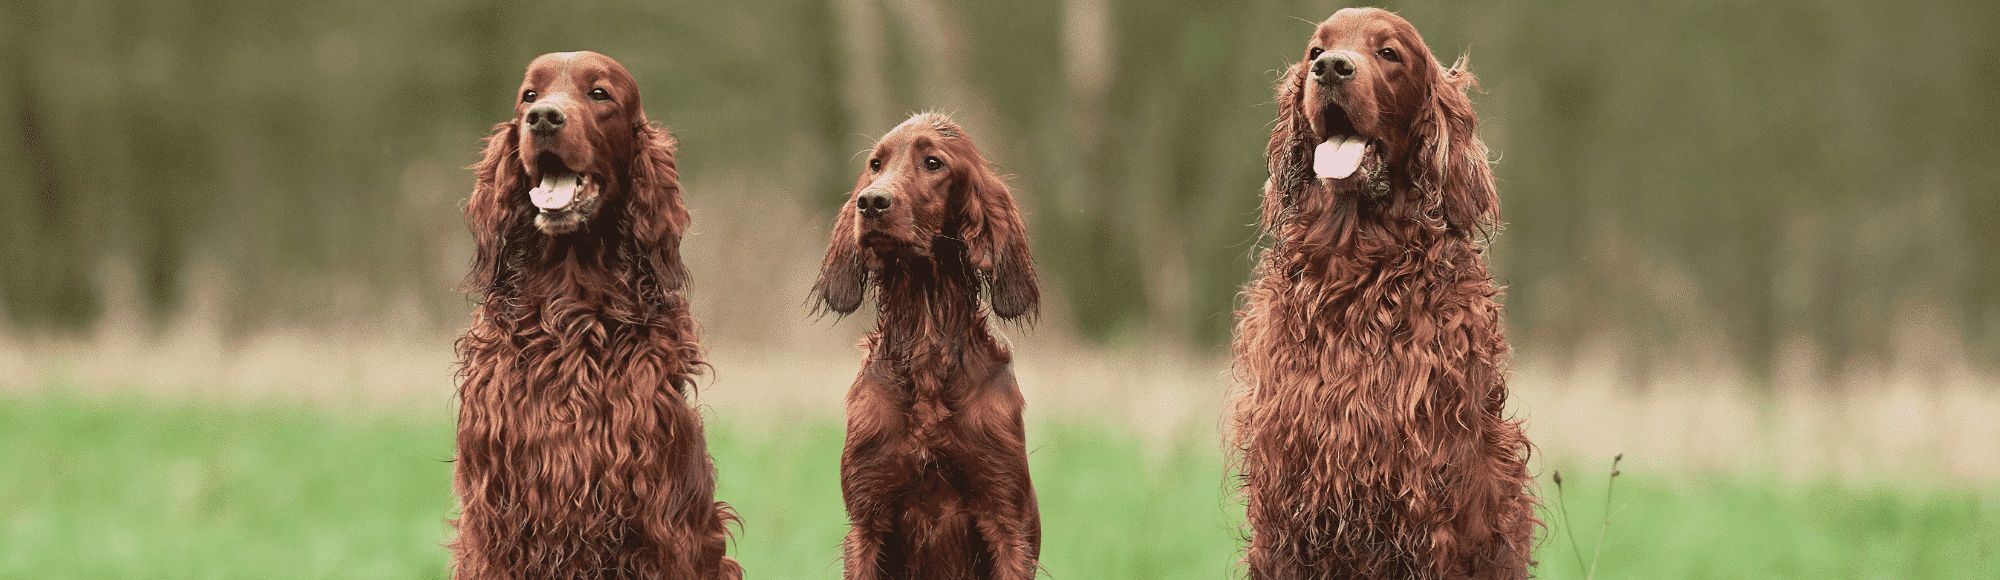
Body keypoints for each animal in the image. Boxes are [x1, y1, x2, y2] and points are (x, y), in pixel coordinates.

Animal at [450, 51, 740, 580]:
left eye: (600, 94)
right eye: (529, 95)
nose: (543, 118)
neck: (570, 308)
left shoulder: (664, 522)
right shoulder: (495, 524)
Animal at [1224, 9, 1536, 580]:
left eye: (1388, 53)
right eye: (1315, 50)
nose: (1331, 68)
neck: (1356, 276)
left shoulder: (1433, 504)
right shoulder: (1285, 504)